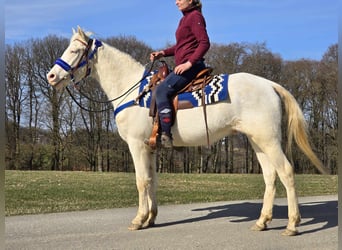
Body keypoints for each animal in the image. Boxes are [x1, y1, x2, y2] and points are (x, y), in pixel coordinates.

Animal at [46, 27, 328, 236]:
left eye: (74, 50)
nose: (51, 76)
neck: (134, 91)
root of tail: (269, 84)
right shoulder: (150, 148)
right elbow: (152, 180)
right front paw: (151, 218)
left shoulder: (136, 145)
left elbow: (141, 181)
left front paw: (138, 219)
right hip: (258, 141)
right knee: (270, 176)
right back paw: (262, 221)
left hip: (269, 140)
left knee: (287, 172)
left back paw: (292, 224)